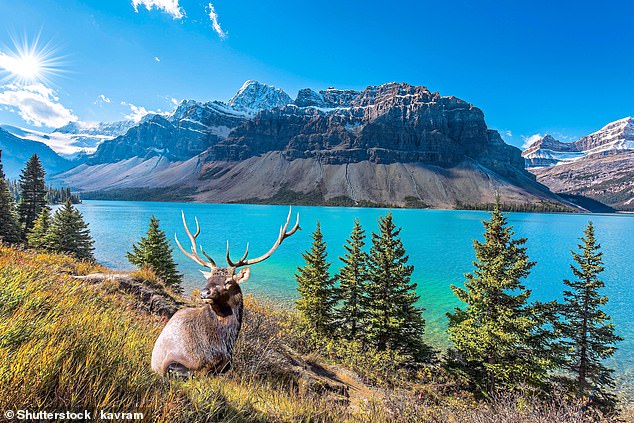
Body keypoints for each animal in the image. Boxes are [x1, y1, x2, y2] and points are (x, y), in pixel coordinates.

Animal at [150, 209, 298, 378]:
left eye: (228, 281)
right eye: (209, 278)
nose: (204, 292)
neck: (224, 341)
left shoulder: (227, 363)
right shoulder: (176, 362)